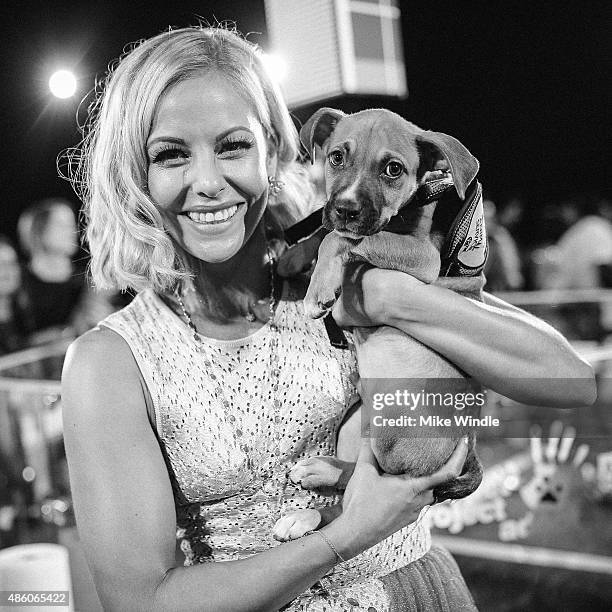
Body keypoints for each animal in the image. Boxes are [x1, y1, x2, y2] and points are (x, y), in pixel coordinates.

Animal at [274, 109, 486, 540]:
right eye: (337, 157)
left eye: (393, 169)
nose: (346, 208)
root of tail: (469, 450)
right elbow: (324, 231)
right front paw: (293, 257)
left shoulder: (422, 257)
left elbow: (343, 239)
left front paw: (318, 289)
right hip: (355, 418)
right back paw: (318, 480)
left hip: (390, 423)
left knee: (359, 495)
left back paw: (312, 499)